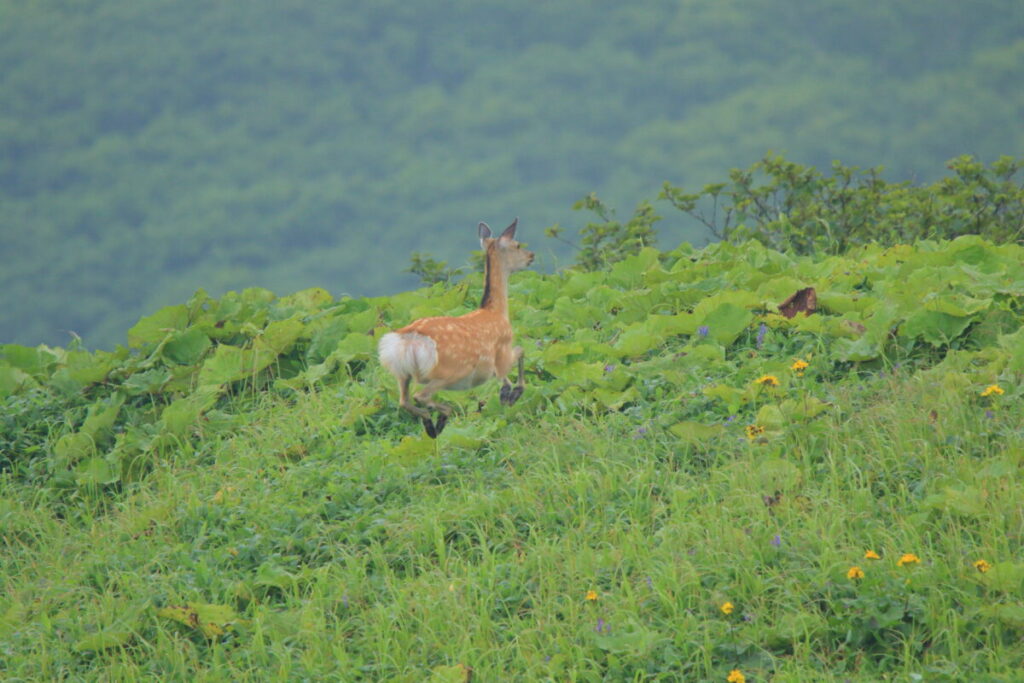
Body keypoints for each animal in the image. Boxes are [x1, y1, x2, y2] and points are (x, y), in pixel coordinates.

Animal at [378, 222, 536, 440]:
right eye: (517, 245)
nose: (531, 256)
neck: (497, 312)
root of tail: (410, 340)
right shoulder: (503, 351)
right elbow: (520, 351)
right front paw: (511, 394)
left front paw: (507, 392)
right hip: (449, 371)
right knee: (421, 395)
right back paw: (443, 416)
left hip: (400, 372)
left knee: (404, 401)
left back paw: (431, 425)